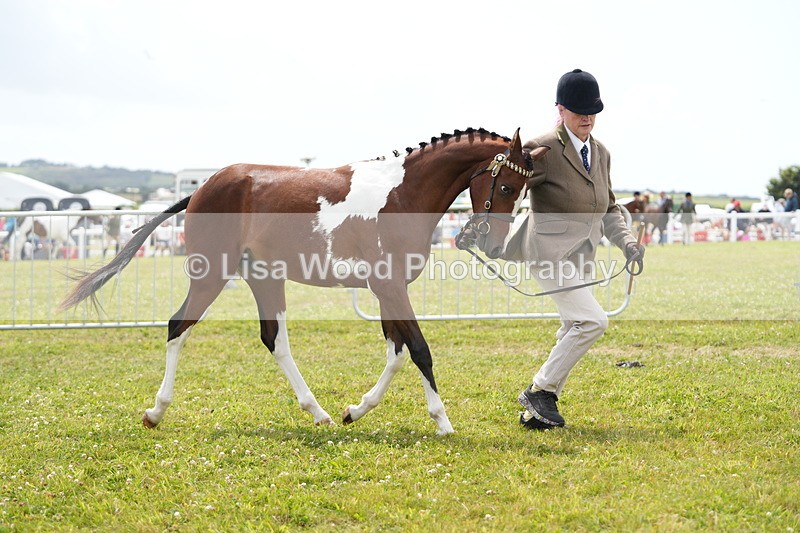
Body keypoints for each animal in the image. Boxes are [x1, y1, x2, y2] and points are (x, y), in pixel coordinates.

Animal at [59, 127, 549, 435]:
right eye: (506, 187)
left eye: (524, 190)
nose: (494, 244)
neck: (402, 194)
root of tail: (202, 188)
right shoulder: (390, 288)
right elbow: (419, 350)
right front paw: (443, 421)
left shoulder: (385, 291)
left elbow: (396, 352)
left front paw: (356, 410)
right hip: (211, 274)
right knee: (178, 326)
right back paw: (156, 411)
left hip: (264, 279)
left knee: (273, 339)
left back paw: (320, 413)